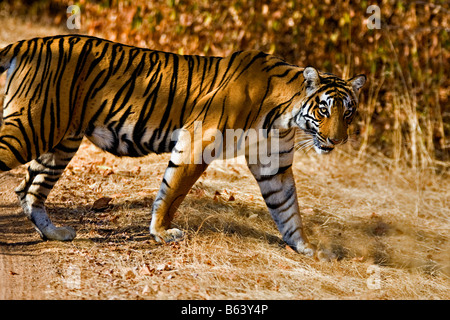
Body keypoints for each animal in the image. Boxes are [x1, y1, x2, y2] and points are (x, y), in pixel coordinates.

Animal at [0, 35, 366, 258]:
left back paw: (55, 234)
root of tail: (31, 43)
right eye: (324, 110)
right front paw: (162, 233)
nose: (338, 140)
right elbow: (173, 191)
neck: (285, 118)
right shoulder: (198, 141)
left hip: (59, 141)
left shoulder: (273, 164)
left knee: (28, 189)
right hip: (30, 127)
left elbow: (288, 209)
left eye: (348, 112)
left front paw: (307, 248)